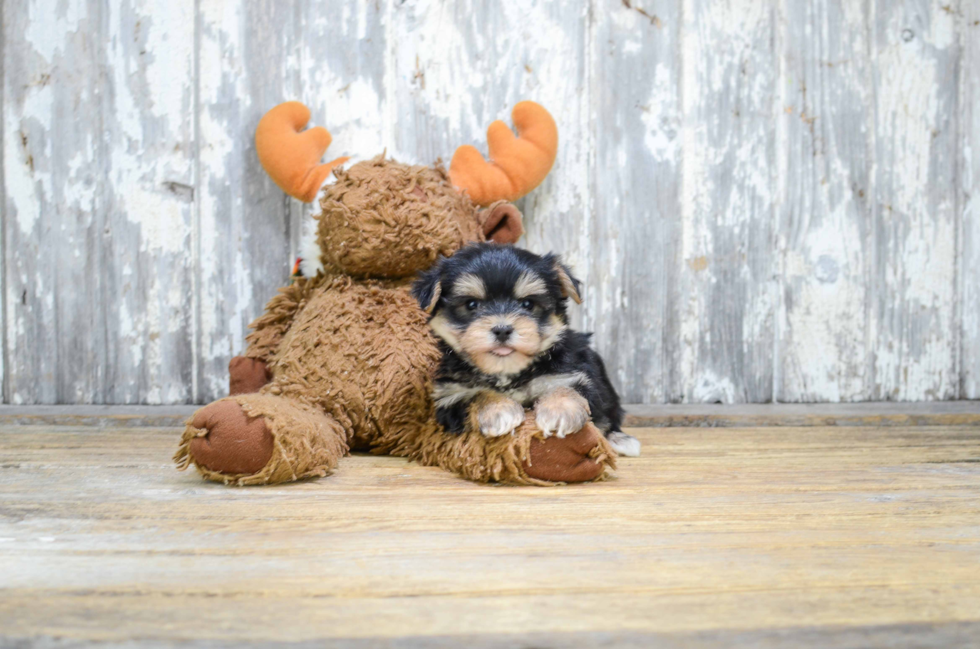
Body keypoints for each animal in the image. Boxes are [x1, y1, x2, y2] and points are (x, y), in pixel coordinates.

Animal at [414, 240, 644, 458]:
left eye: (527, 304)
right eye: (471, 305)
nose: (502, 330)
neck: (507, 372)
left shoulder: (572, 374)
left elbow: (565, 387)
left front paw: (560, 411)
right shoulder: (450, 396)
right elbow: (476, 395)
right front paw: (499, 410)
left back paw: (620, 440)